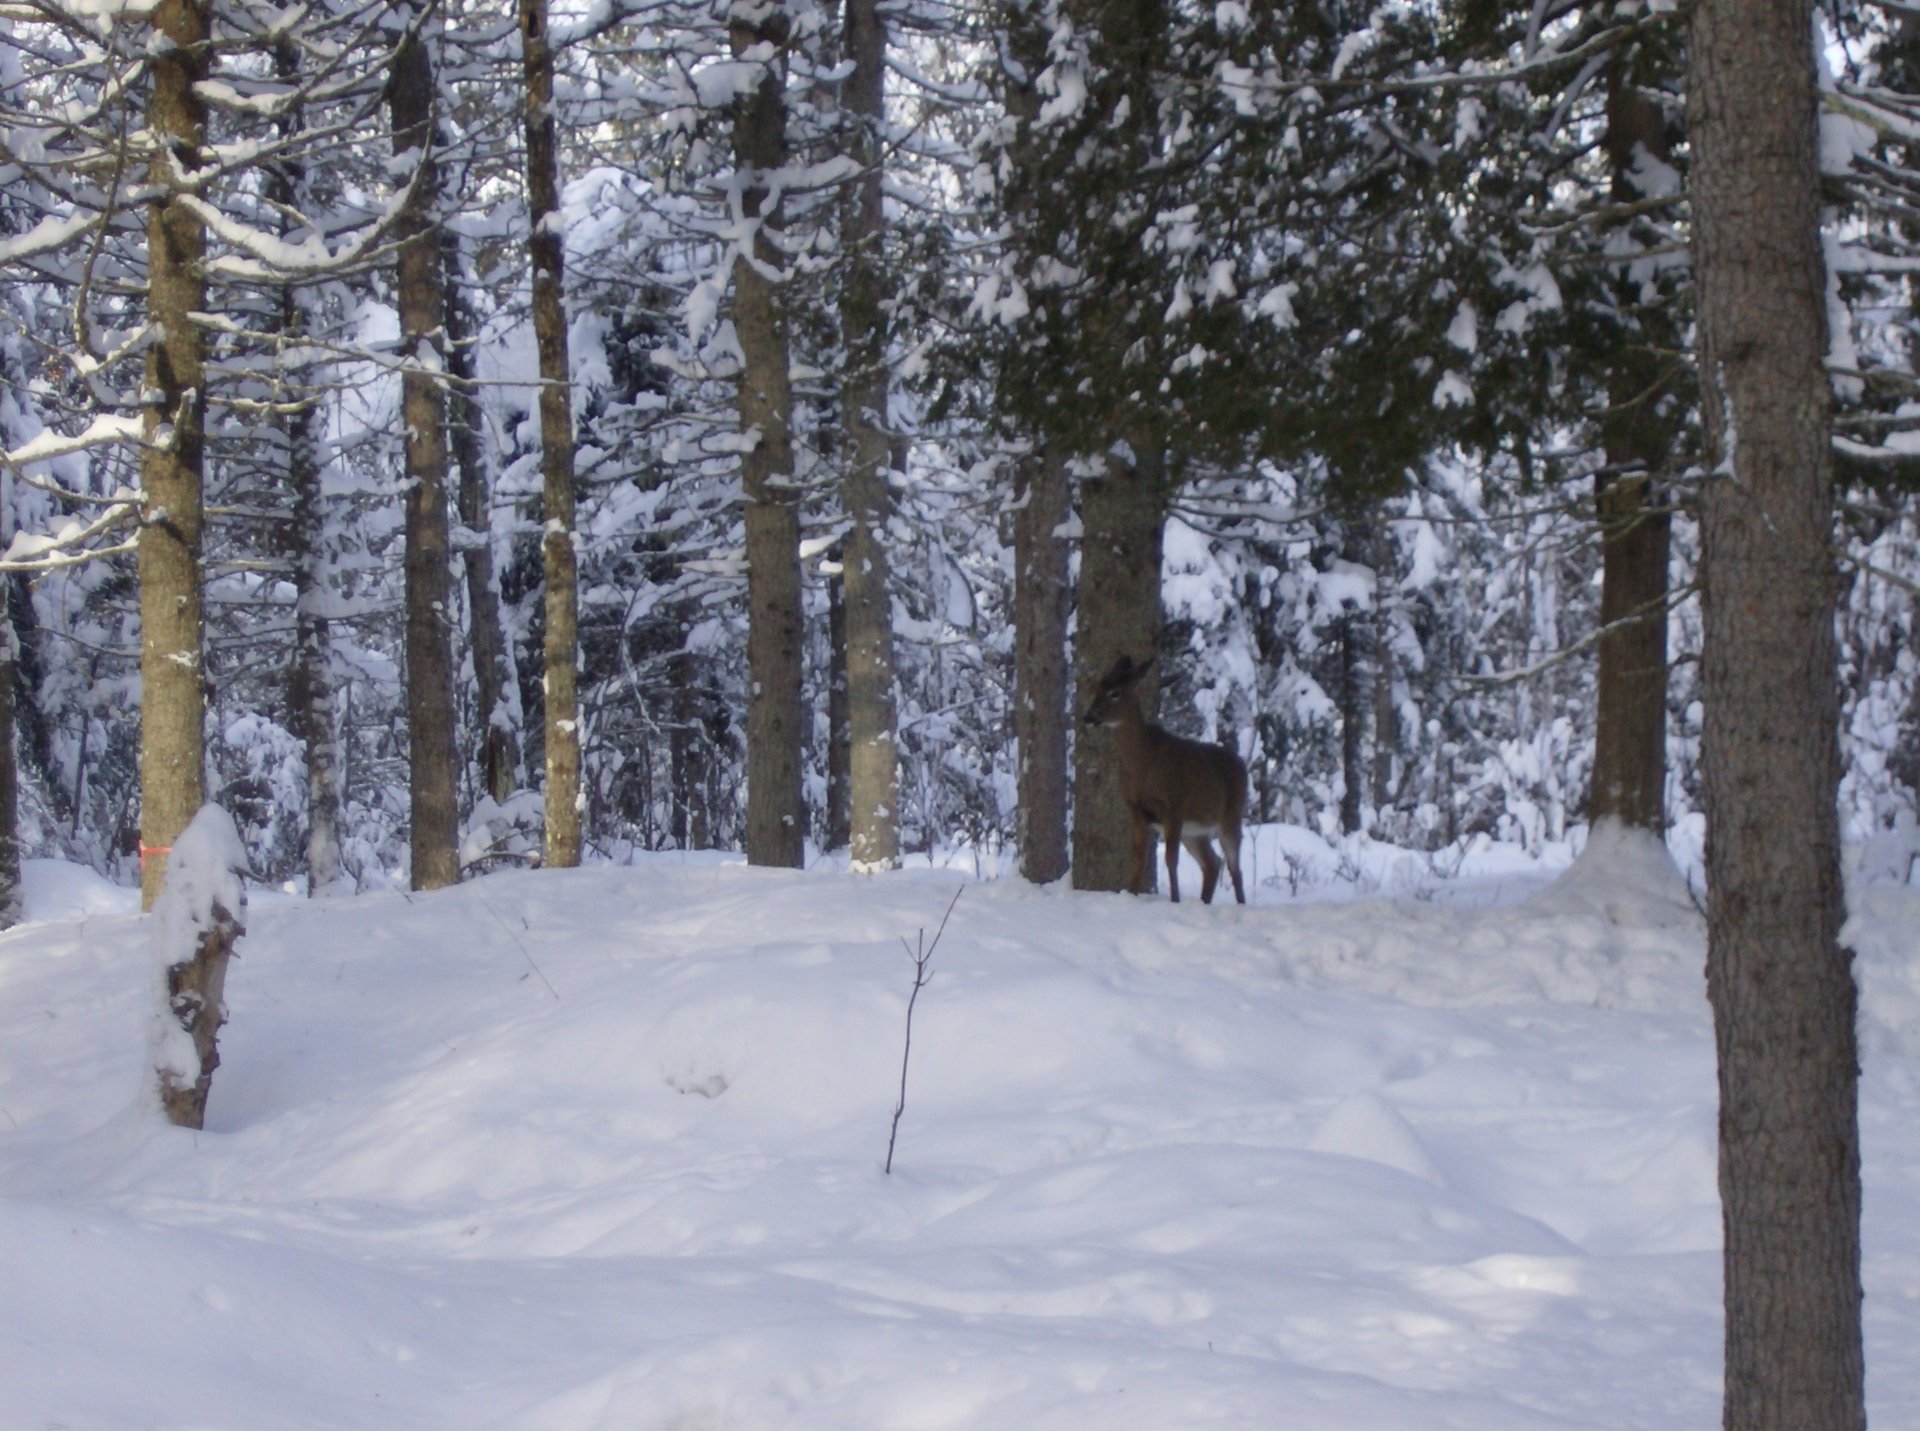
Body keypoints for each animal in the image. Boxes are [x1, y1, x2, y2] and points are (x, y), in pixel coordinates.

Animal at [1081, 654, 1248, 904]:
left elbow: (1171, 859)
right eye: (1096, 688)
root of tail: (1242, 764)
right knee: (1212, 863)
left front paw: (1175, 900)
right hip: (1195, 832)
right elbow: (1138, 859)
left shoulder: (1174, 806)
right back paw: (1204, 902)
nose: (1088, 717)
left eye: (1115, 693)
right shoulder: (1136, 809)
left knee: (1234, 866)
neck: (1143, 764)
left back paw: (1240, 904)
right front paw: (1131, 894)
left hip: (1231, 815)